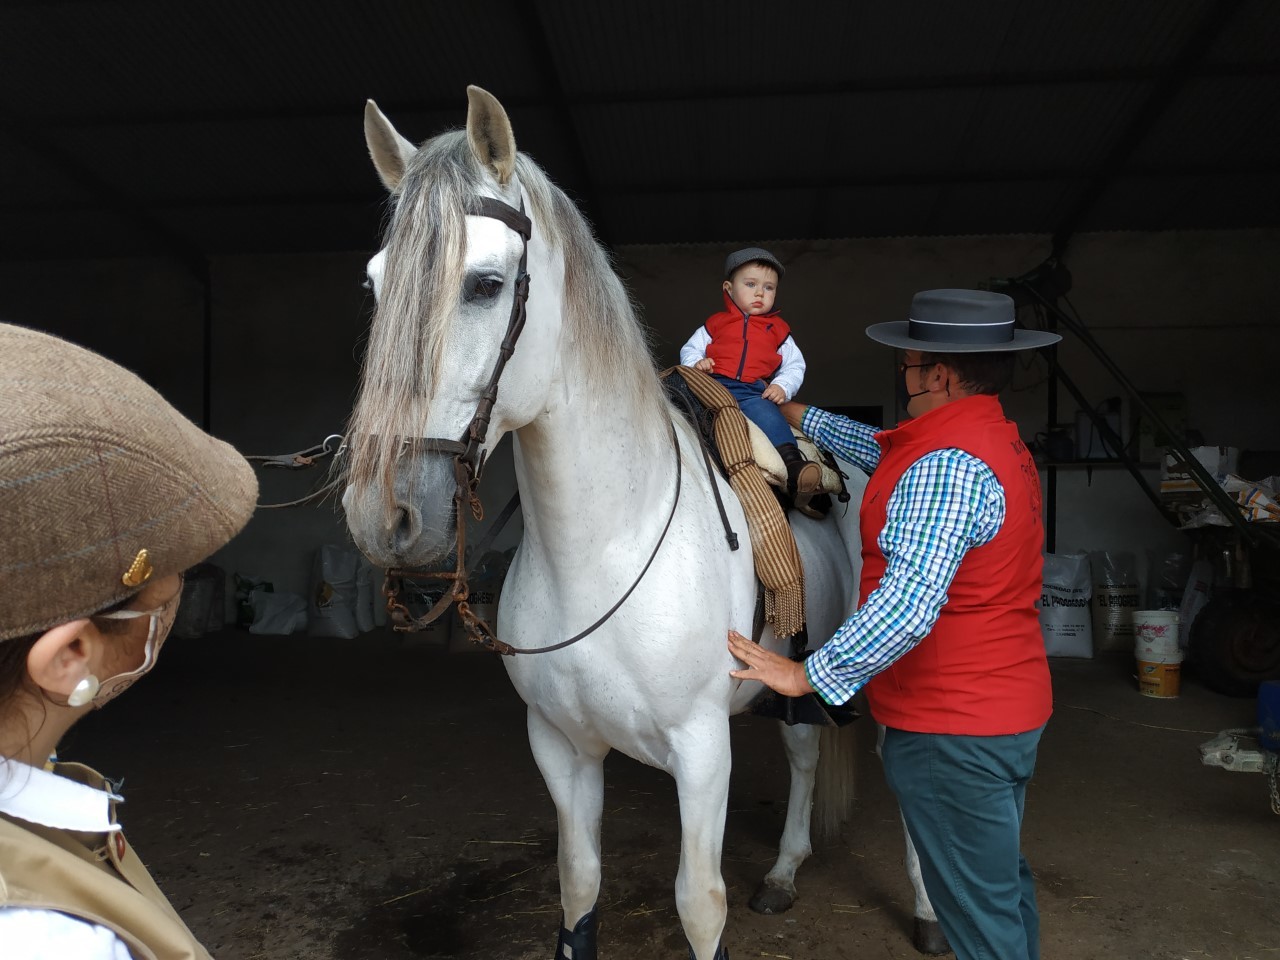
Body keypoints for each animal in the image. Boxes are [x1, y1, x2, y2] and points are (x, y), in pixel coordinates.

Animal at [340, 86, 942, 957]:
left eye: (485, 284)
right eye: (374, 286)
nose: (382, 515)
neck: (603, 550)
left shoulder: (702, 754)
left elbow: (700, 904)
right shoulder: (561, 749)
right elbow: (579, 883)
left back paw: (929, 912)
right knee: (802, 752)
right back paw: (785, 872)